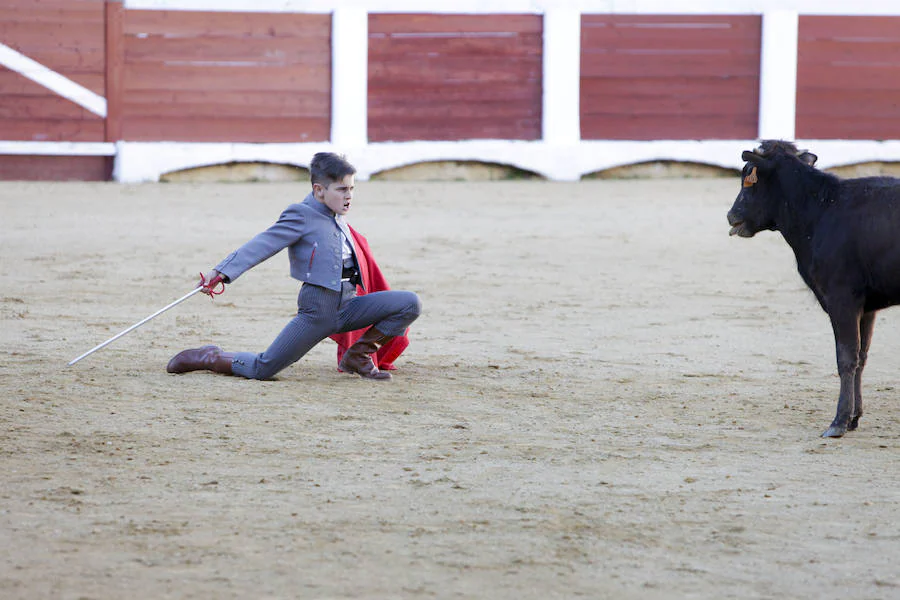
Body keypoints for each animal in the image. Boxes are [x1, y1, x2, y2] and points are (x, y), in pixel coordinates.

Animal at [728, 141, 900, 438]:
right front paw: (854, 418)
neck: (820, 211)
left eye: (749, 181)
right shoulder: (867, 308)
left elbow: (846, 357)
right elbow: (861, 357)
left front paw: (838, 423)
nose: (731, 216)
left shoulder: (842, 299)